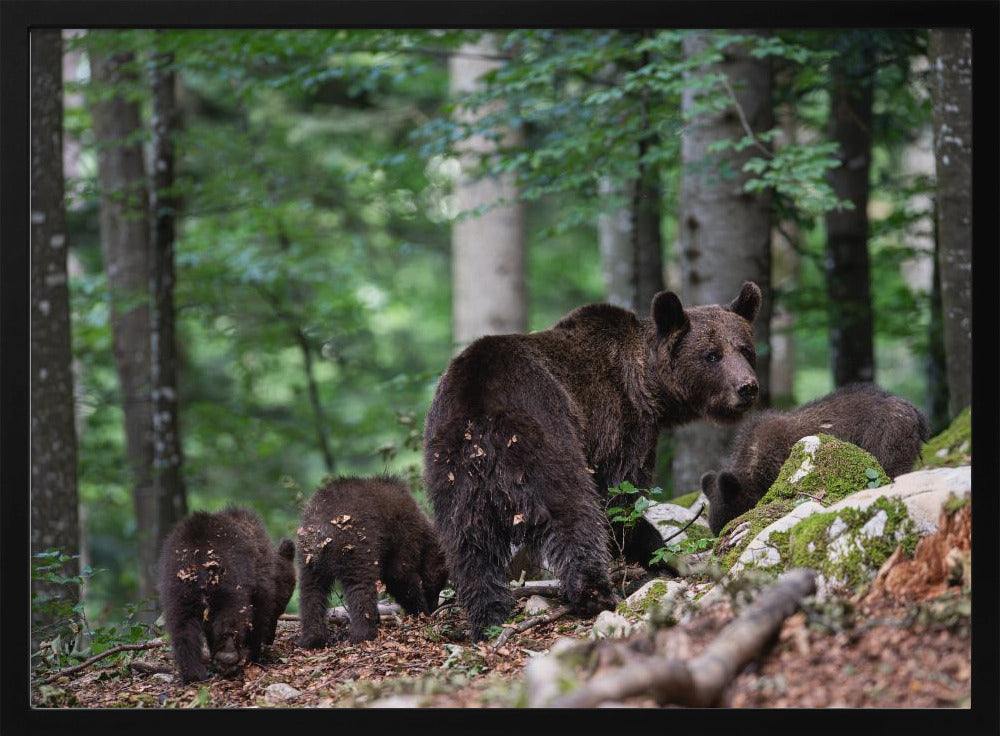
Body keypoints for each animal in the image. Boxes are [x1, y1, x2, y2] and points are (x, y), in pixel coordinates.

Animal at [157, 506, 296, 684]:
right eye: (281, 607)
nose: (270, 639)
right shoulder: (260, 584)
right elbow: (257, 617)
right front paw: (255, 654)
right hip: (228, 581)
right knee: (230, 615)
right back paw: (228, 656)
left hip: (177, 589)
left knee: (182, 627)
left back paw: (192, 673)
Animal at [295, 475, 449, 647]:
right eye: (440, 583)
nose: (434, 607)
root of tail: (320, 532)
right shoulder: (402, 534)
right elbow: (399, 575)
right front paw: (420, 610)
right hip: (355, 546)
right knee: (361, 586)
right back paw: (363, 633)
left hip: (308, 558)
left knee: (311, 591)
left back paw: (312, 638)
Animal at [423, 282, 762, 640]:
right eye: (711, 355)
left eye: (745, 350)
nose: (747, 387)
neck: (649, 386)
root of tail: (479, 407)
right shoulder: (621, 425)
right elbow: (621, 499)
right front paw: (659, 554)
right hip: (544, 430)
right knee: (571, 510)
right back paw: (594, 594)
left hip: (452, 465)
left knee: (467, 541)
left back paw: (487, 615)